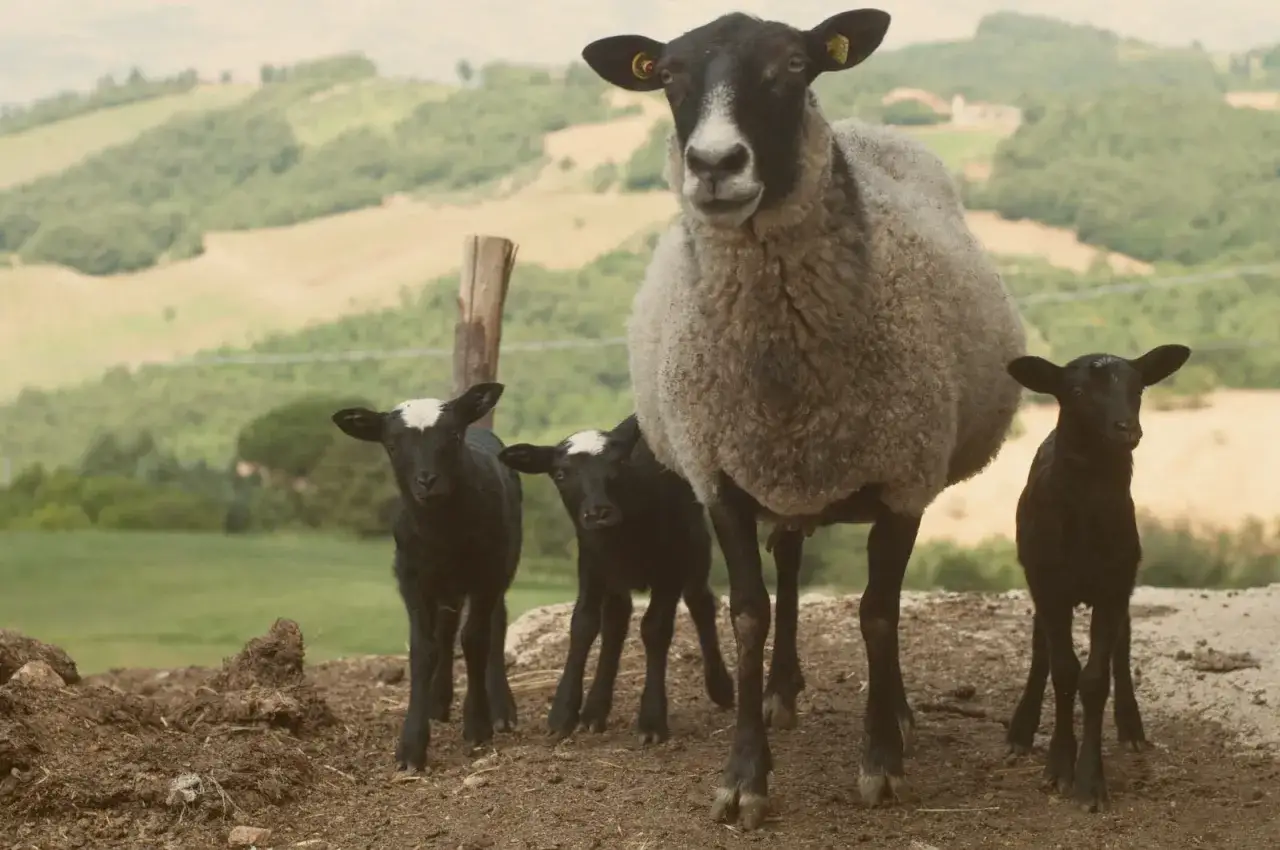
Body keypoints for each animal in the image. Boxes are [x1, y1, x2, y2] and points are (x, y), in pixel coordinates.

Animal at [331, 381, 522, 771]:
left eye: (452, 435)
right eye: (391, 445)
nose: (427, 481)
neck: (443, 532)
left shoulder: (486, 573)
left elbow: (475, 639)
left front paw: (478, 725)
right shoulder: (412, 578)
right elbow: (424, 650)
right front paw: (411, 748)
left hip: (501, 566)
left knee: (495, 624)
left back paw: (501, 709)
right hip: (445, 585)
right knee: (446, 632)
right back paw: (438, 701)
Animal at [498, 414, 735, 744]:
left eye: (619, 464)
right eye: (560, 474)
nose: (599, 512)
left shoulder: (670, 568)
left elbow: (655, 628)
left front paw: (651, 720)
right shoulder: (592, 563)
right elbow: (583, 624)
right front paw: (563, 713)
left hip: (696, 544)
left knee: (700, 603)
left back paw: (720, 687)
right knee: (616, 620)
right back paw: (595, 711)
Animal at [580, 8, 1027, 827]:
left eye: (793, 64)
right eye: (668, 75)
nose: (714, 163)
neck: (785, 371)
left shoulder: (904, 478)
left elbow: (878, 613)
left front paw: (882, 760)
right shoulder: (720, 473)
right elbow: (748, 615)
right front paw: (743, 778)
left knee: (867, 597)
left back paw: (897, 710)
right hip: (781, 474)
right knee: (787, 559)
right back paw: (783, 689)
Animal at [1003, 344, 1191, 811]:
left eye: (1138, 388)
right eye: (1075, 392)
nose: (1126, 429)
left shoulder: (1113, 584)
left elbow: (1094, 678)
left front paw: (1090, 782)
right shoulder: (1050, 585)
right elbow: (1063, 670)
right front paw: (1058, 767)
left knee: (1121, 645)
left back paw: (1131, 727)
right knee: (1041, 648)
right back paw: (1020, 730)